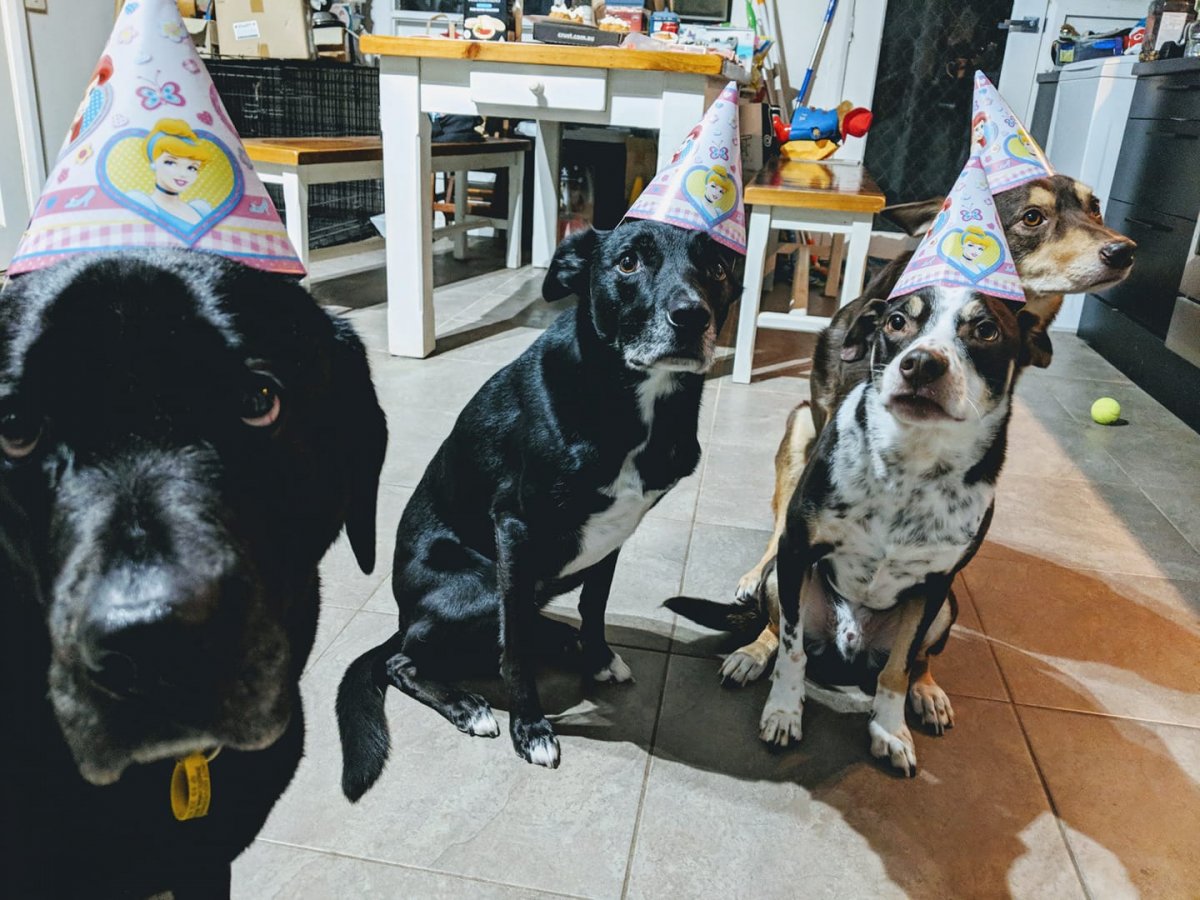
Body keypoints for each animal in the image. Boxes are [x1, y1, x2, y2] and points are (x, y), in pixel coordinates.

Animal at [336, 220, 740, 800]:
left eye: (716, 269)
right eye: (628, 262)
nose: (691, 317)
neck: (632, 400)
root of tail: (401, 615)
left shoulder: (614, 535)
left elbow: (593, 607)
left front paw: (596, 656)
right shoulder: (516, 529)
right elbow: (517, 650)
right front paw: (529, 729)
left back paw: (564, 642)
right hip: (480, 586)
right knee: (403, 658)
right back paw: (468, 704)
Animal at [678, 284, 1050, 773]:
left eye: (986, 330)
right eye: (897, 321)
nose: (921, 363)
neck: (911, 463)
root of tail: (848, 648)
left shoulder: (934, 584)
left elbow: (899, 668)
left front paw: (890, 732)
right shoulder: (796, 551)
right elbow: (792, 650)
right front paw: (784, 712)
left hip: (947, 607)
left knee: (920, 659)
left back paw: (928, 693)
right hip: (783, 569)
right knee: (776, 627)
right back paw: (750, 655)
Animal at [723, 175, 1136, 673]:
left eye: (1095, 208)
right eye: (1032, 217)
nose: (1123, 251)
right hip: (802, 425)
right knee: (781, 542)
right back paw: (757, 623)